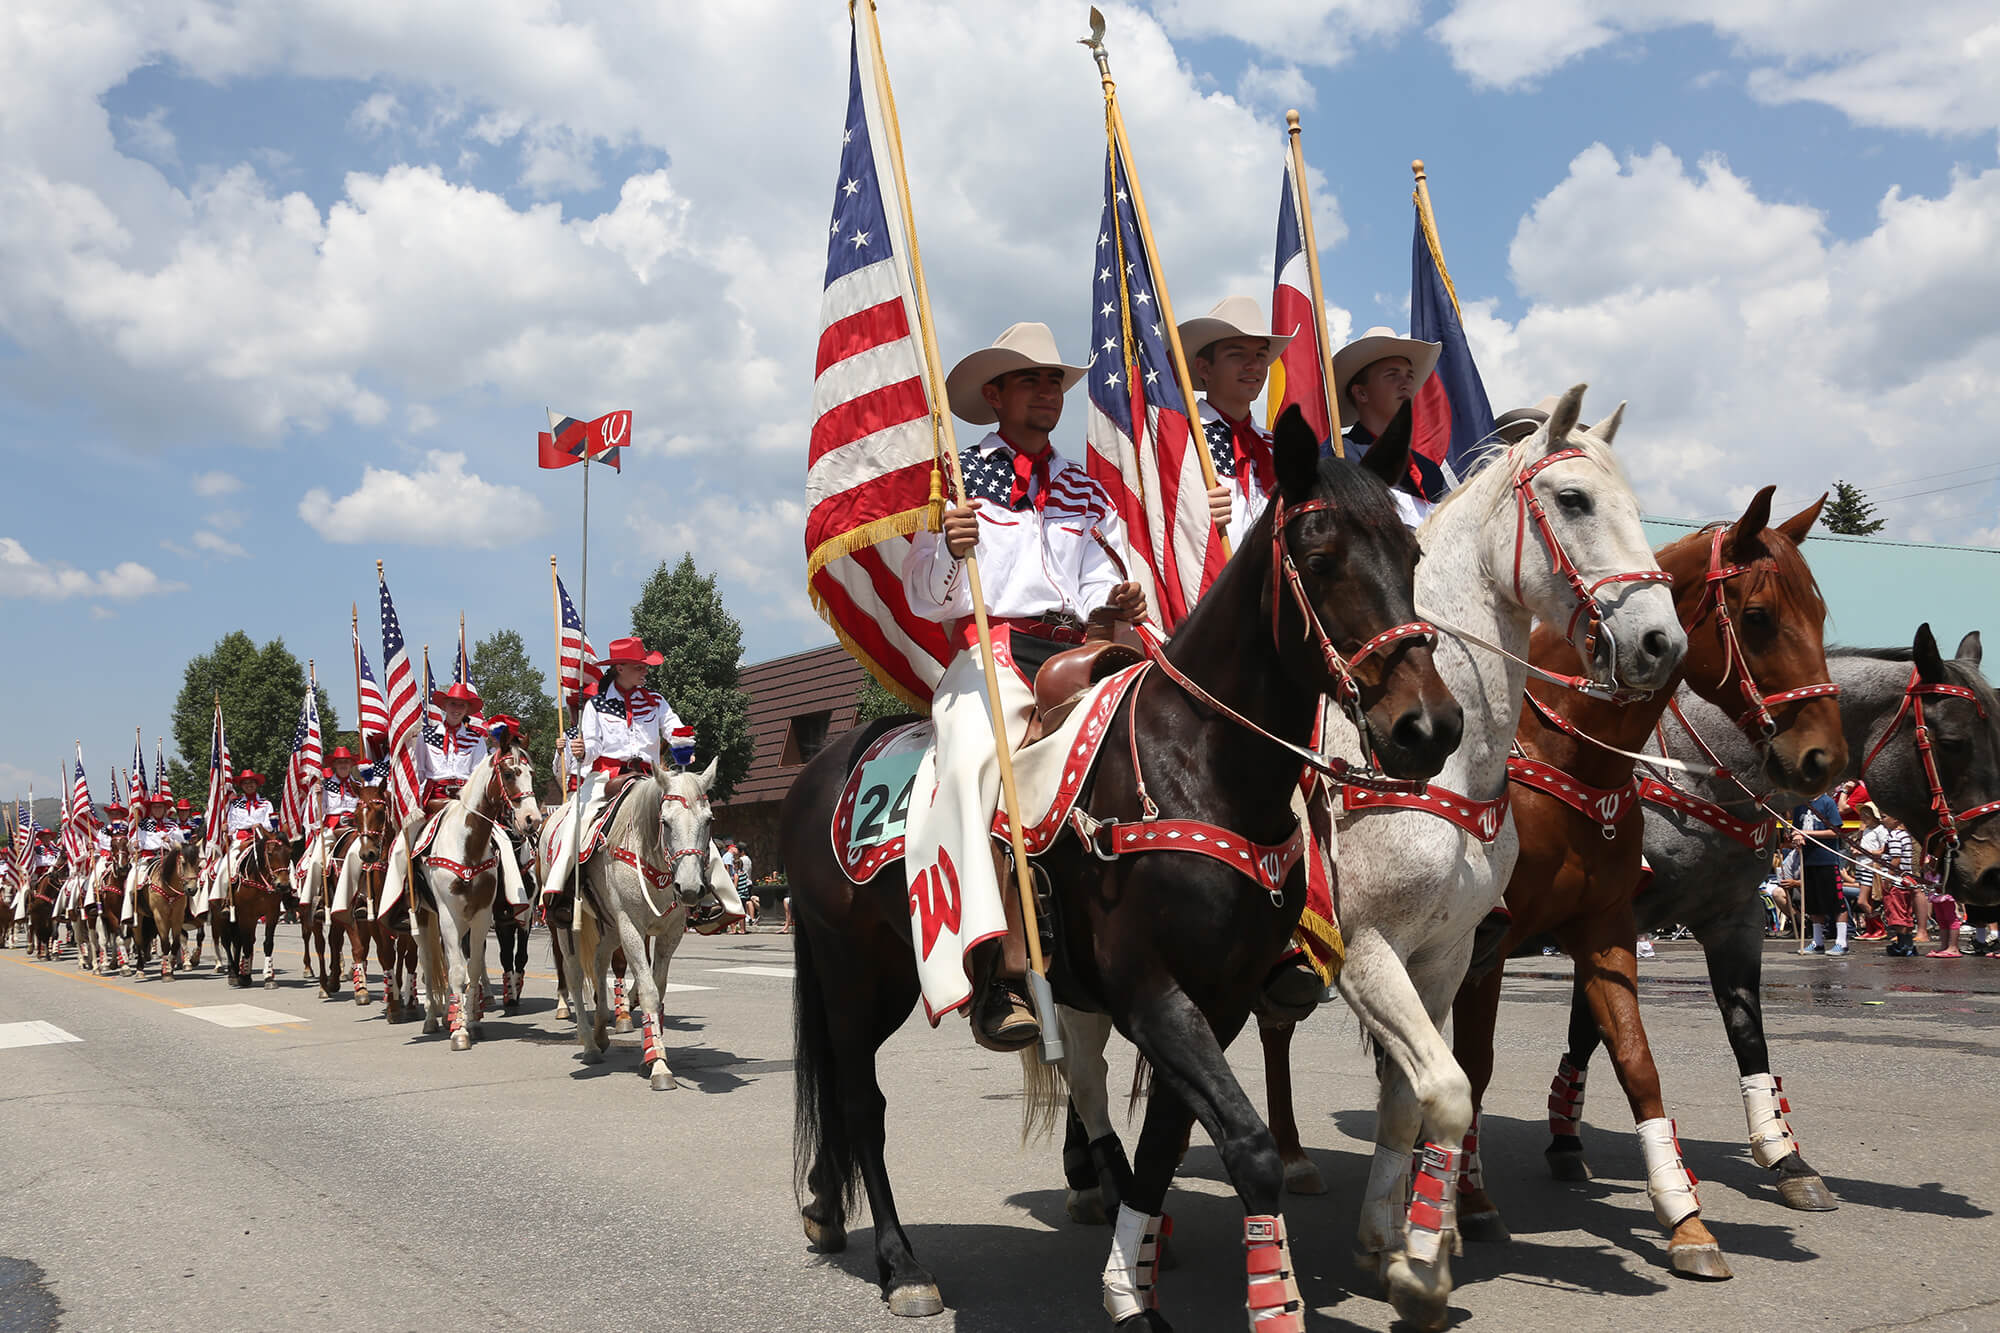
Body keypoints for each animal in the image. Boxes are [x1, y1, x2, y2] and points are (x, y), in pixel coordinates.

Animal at [404, 740, 540, 1040]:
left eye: (531, 773)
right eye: (509, 773)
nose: (532, 820)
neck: (467, 846)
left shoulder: (490, 914)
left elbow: (480, 965)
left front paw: (473, 1020)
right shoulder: (450, 915)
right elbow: (457, 969)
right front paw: (460, 1031)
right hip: (424, 916)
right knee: (428, 963)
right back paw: (433, 1018)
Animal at [776, 410, 1456, 1320]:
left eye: (1411, 554)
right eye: (1319, 559)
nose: (1430, 727)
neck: (1200, 764)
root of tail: (822, 771)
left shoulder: (1218, 998)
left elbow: (1168, 1143)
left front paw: (1128, 1284)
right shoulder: (1152, 991)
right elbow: (1248, 1146)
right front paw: (1263, 1298)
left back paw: (826, 1208)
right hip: (858, 971)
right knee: (860, 1100)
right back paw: (901, 1263)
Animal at [1248, 384, 1688, 1320]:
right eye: (1574, 500)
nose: (1660, 643)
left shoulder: (1446, 954)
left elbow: (1409, 1101)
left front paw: (1387, 1243)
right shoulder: (1367, 949)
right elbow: (1445, 1086)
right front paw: (1420, 1261)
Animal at [1448, 482, 1848, 1272]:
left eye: (1822, 615)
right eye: (1759, 618)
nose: (1822, 758)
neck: (1564, 760)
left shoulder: (1614, 929)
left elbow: (1639, 1058)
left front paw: (1686, 1215)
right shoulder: (1488, 946)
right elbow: (1475, 1063)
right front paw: (1472, 1198)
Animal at [1552, 616, 2000, 1208]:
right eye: (1951, 743)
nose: (1993, 871)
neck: (1697, 777)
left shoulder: (1735, 921)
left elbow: (1747, 1034)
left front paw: (1786, 1157)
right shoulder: (1608, 920)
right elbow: (1591, 1028)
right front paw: (1564, 1140)